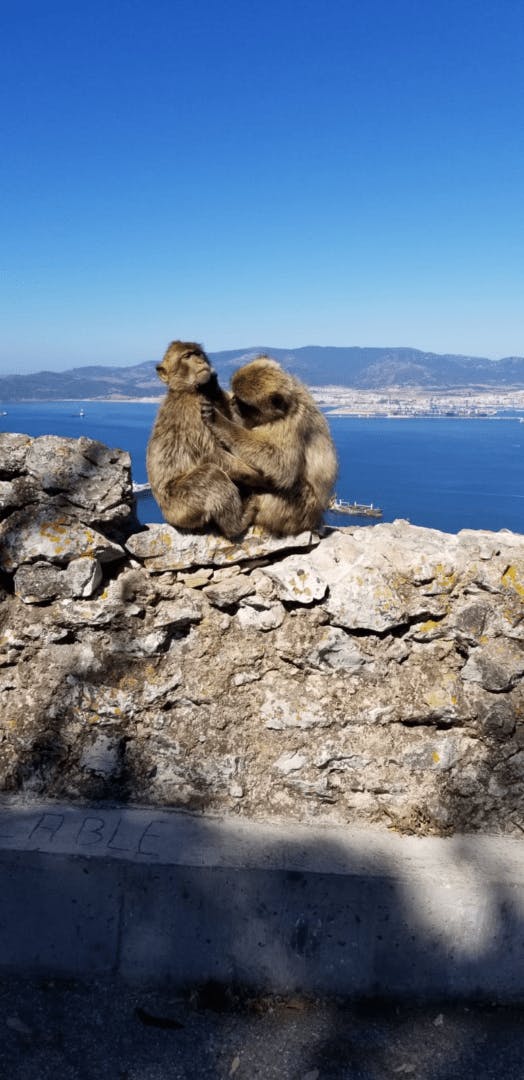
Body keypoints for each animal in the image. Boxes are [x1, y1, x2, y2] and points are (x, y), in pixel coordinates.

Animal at [144, 339, 265, 537]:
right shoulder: (194, 410)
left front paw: (213, 384)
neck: (187, 389)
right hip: (183, 506)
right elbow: (212, 454)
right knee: (211, 474)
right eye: (187, 356)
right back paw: (237, 524)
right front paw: (260, 477)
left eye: (198, 354)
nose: (201, 362)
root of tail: (168, 516)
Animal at [199, 354, 339, 535]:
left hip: (298, 512)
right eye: (235, 394)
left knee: (284, 484)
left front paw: (219, 421)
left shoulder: (290, 423)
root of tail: (315, 521)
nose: (233, 401)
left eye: (244, 403)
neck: (285, 409)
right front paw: (212, 388)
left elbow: (280, 465)